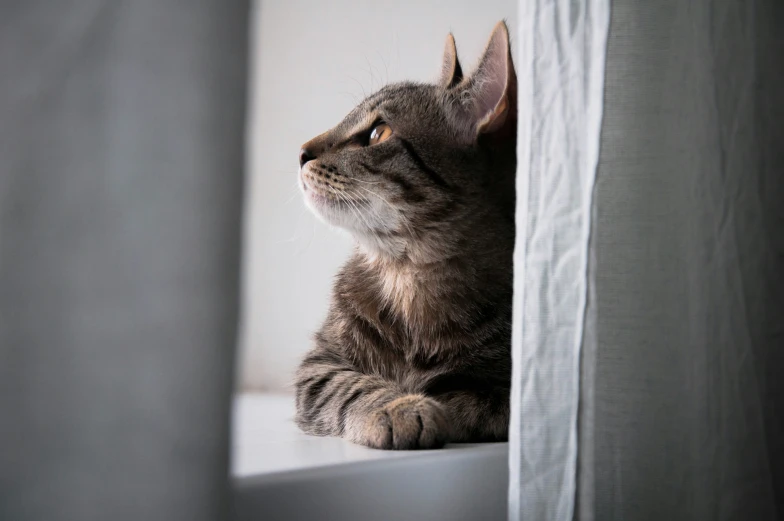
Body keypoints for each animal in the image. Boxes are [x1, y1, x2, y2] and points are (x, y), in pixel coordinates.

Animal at [294, 22, 516, 448]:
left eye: (377, 134)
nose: (300, 152)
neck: (408, 275)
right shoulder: (318, 366)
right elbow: (351, 386)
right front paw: (397, 405)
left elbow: (476, 400)